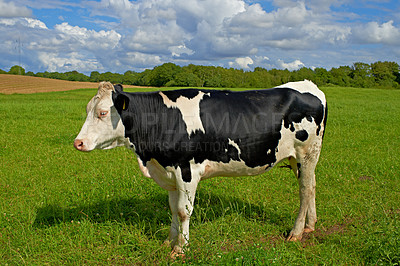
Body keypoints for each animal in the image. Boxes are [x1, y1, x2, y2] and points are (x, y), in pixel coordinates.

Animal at [75, 80, 328, 256]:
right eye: (87, 109)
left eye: (103, 113)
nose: (78, 143)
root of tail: (308, 85)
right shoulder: (168, 172)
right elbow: (173, 209)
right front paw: (170, 241)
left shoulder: (187, 170)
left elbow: (183, 211)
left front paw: (181, 249)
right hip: (298, 158)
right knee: (312, 186)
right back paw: (310, 225)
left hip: (307, 152)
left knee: (305, 190)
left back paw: (296, 233)